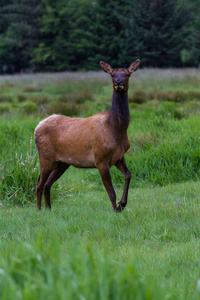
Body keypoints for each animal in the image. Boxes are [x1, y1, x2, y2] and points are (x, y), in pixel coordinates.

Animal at [34, 59, 140, 212]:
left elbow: (128, 174)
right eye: (112, 74)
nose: (118, 82)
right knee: (39, 183)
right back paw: (39, 210)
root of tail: (37, 126)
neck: (116, 131)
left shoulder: (119, 156)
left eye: (127, 74)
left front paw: (122, 204)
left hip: (62, 162)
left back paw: (48, 209)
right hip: (45, 157)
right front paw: (116, 209)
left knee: (47, 183)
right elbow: (111, 192)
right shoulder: (100, 158)